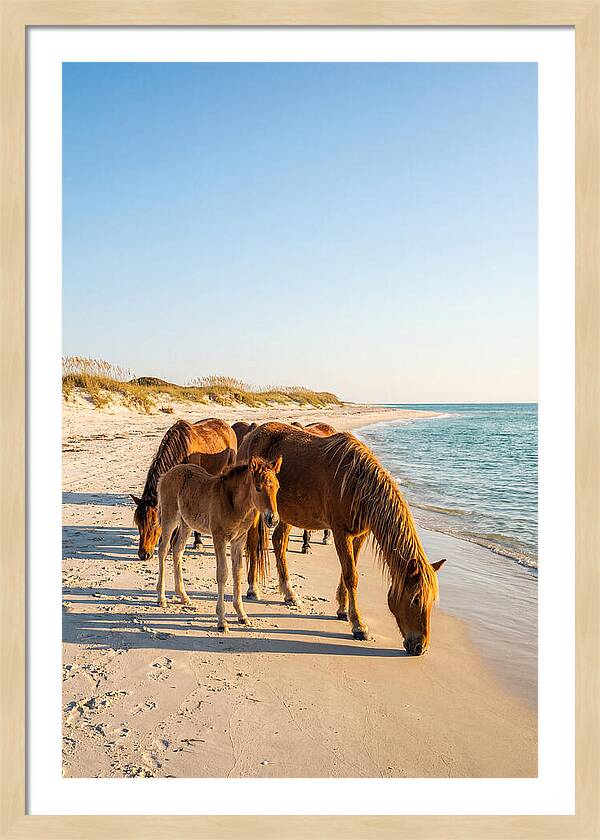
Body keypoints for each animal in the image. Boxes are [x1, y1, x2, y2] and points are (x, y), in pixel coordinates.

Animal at [131, 418, 237, 560]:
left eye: (153, 523)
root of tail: (226, 426)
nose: (143, 554)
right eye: (138, 523)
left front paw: (197, 542)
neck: (181, 451)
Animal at [157, 456, 282, 631]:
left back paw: (184, 596)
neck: (234, 503)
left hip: (186, 523)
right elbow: (222, 573)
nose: (273, 519)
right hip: (170, 518)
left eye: (277, 487)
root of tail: (167, 474)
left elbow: (238, 572)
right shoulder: (219, 538)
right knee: (163, 549)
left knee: (177, 550)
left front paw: (242, 615)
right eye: (258, 488)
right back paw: (161, 598)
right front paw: (222, 621)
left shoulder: (239, 540)